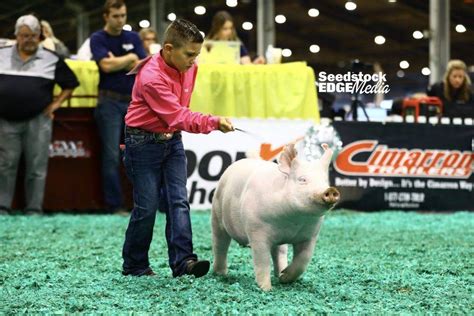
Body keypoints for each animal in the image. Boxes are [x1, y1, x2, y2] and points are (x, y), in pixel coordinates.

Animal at [212, 143, 340, 292]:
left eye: (325, 181)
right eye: (302, 179)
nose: (330, 190)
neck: (293, 221)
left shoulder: (310, 235)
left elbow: (303, 260)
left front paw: (284, 278)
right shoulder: (257, 231)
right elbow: (262, 261)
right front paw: (266, 289)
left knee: (279, 252)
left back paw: (279, 273)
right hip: (216, 214)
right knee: (220, 244)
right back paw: (220, 274)